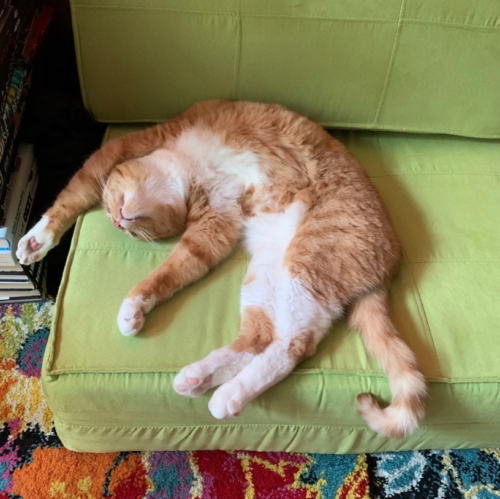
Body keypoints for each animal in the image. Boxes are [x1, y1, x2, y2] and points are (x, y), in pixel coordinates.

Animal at [18, 100, 426, 438]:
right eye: (127, 232)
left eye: (113, 200)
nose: (118, 222)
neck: (186, 174)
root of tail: (389, 264)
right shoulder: (214, 228)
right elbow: (170, 273)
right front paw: (135, 308)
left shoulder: (133, 146)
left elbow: (72, 195)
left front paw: (38, 240)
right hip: (266, 276)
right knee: (262, 338)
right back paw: (200, 378)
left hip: (305, 264)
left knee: (293, 345)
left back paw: (228, 394)